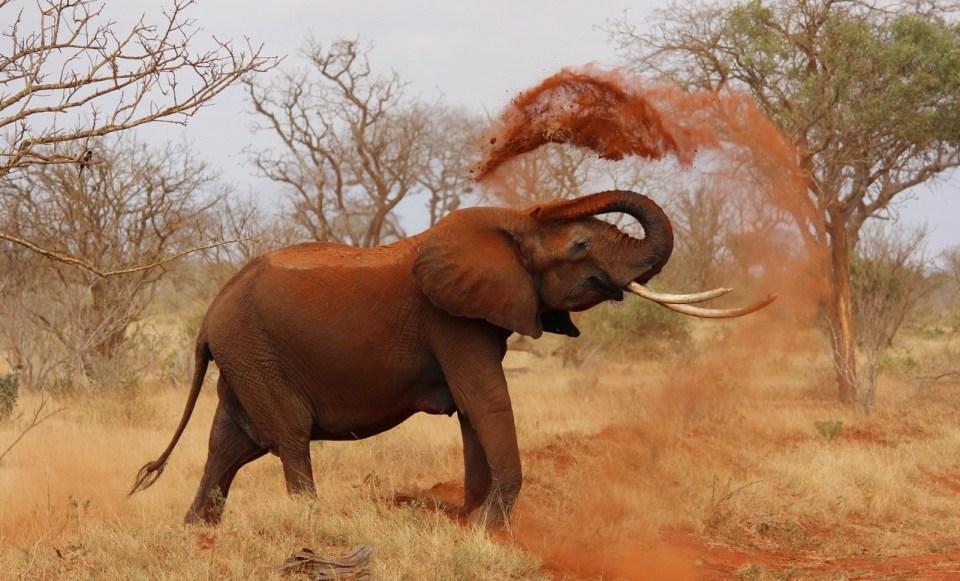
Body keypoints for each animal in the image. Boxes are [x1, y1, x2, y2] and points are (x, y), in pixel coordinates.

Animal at [130, 190, 772, 528]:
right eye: (581, 244)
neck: (509, 225)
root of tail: (210, 313)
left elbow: (472, 411)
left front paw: (470, 520)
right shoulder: (451, 321)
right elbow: (485, 400)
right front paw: (490, 527)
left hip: (244, 356)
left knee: (230, 443)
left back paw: (197, 534)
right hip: (255, 351)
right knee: (286, 436)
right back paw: (311, 524)